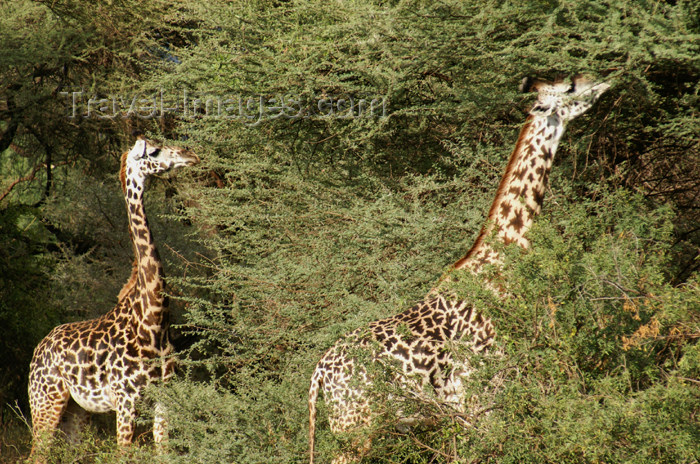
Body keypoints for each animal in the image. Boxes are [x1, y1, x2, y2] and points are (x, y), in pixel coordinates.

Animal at [26, 135, 198, 460]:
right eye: (154, 151)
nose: (190, 154)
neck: (153, 322)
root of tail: (39, 348)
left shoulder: (164, 399)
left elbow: (164, 453)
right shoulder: (126, 400)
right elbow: (123, 454)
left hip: (76, 410)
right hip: (45, 400)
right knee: (36, 455)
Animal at [308, 74, 608, 462]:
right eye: (570, 87)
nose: (602, 81)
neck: (502, 257)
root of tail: (318, 377)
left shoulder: (467, 406)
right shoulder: (484, 393)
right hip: (356, 425)